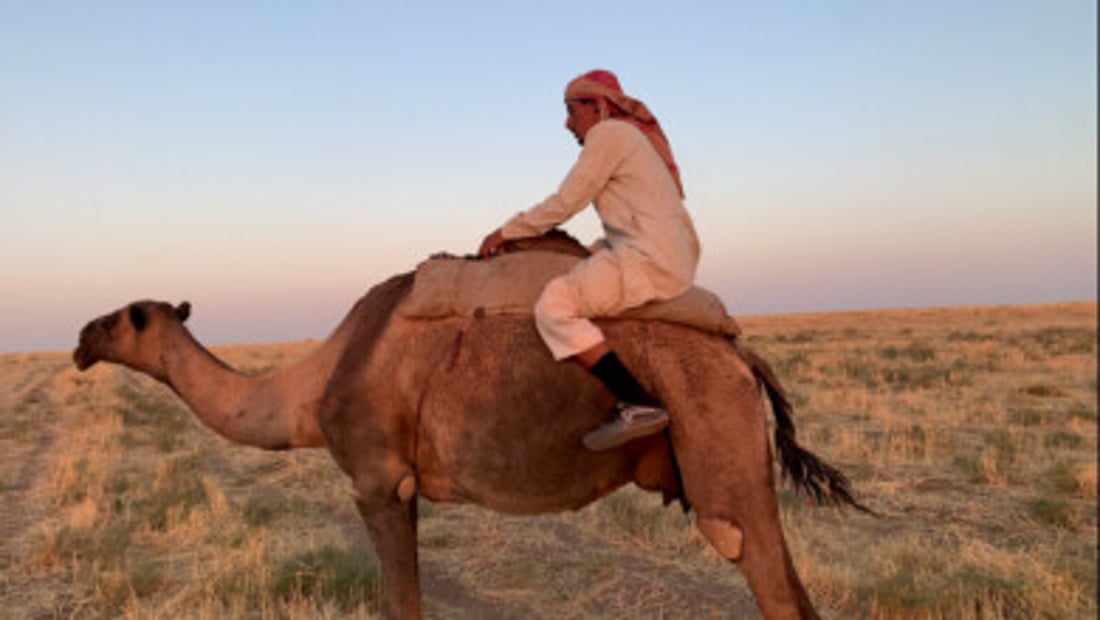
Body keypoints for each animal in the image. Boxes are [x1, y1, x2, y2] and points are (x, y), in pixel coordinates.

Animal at [72, 233, 867, 619]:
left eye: (119, 318)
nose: (79, 339)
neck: (315, 381)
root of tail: (741, 354)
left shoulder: (377, 480)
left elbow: (402, 604)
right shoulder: (401, 486)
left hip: (715, 434)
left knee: (759, 568)